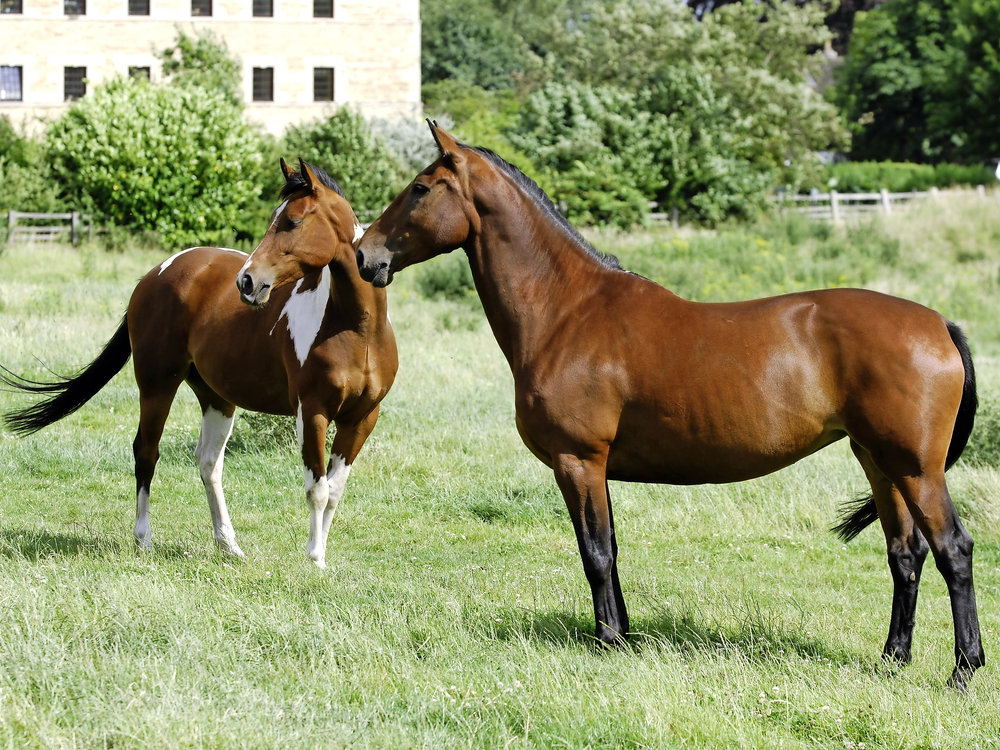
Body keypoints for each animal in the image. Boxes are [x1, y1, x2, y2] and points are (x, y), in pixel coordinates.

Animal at [3, 158, 397, 569]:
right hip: (157, 384)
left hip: (217, 397)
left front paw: (319, 557)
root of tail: (156, 273)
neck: (355, 327)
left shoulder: (362, 418)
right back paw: (143, 540)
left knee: (208, 462)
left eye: (292, 221)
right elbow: (317, 489)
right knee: (146, 451)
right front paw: (314, 560)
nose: (247, 281)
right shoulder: (313, 411)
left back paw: (228, 545)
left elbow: (334, 490)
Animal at [357, 121, 983, 689]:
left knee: (952, 549)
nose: (366, 255)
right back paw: (893, 659)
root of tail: (940, 324)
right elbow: (610, 547)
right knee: (905, 553)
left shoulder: (578, 462)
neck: (566, 311)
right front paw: (623, 634)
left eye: (420, 188)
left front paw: (608, 641)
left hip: (915, 468)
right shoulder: (596, 467)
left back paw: (963, 668)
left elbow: (595, 553)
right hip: (879, 462)